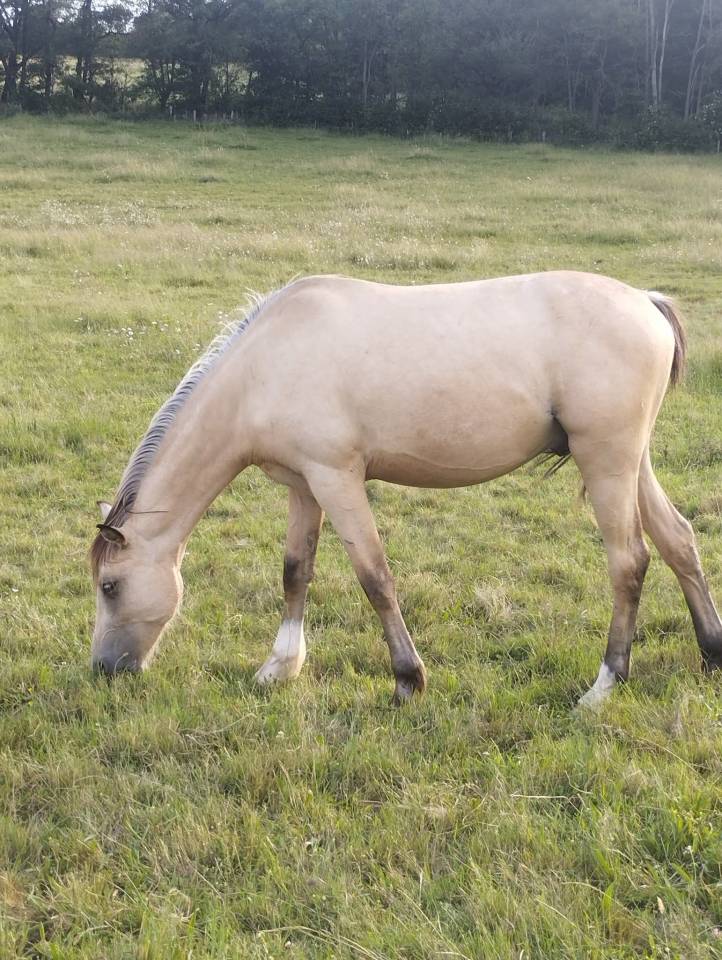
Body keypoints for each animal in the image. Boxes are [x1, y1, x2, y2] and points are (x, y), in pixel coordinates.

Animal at [90, 271, 722, 708]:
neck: (264, 366)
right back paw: (712, 653)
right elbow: (296, 571)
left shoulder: (338, 479)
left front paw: (407, 679)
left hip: (607, 462)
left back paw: (604, 685)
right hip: (630, 463)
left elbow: (375, 577)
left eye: (110, 587)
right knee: (678, 541)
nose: (104, 670)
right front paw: (281, 667)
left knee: (629, 561)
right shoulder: (305, 486)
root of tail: (645, 300)